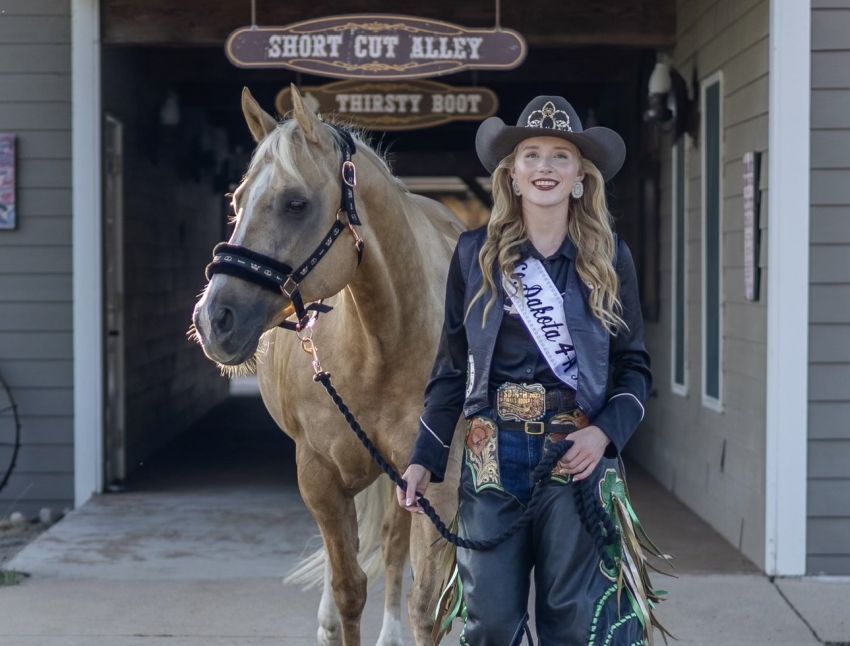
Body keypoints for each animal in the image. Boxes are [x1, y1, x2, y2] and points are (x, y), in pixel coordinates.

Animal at [193, 87, 464, 646]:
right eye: (236, 201)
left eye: (296, 203)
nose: (214, 319)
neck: (382, 345)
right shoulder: (318, 474)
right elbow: (348, 590)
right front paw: (335, 617)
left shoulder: (437, 481)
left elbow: (428, 603)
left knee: (394, 542)